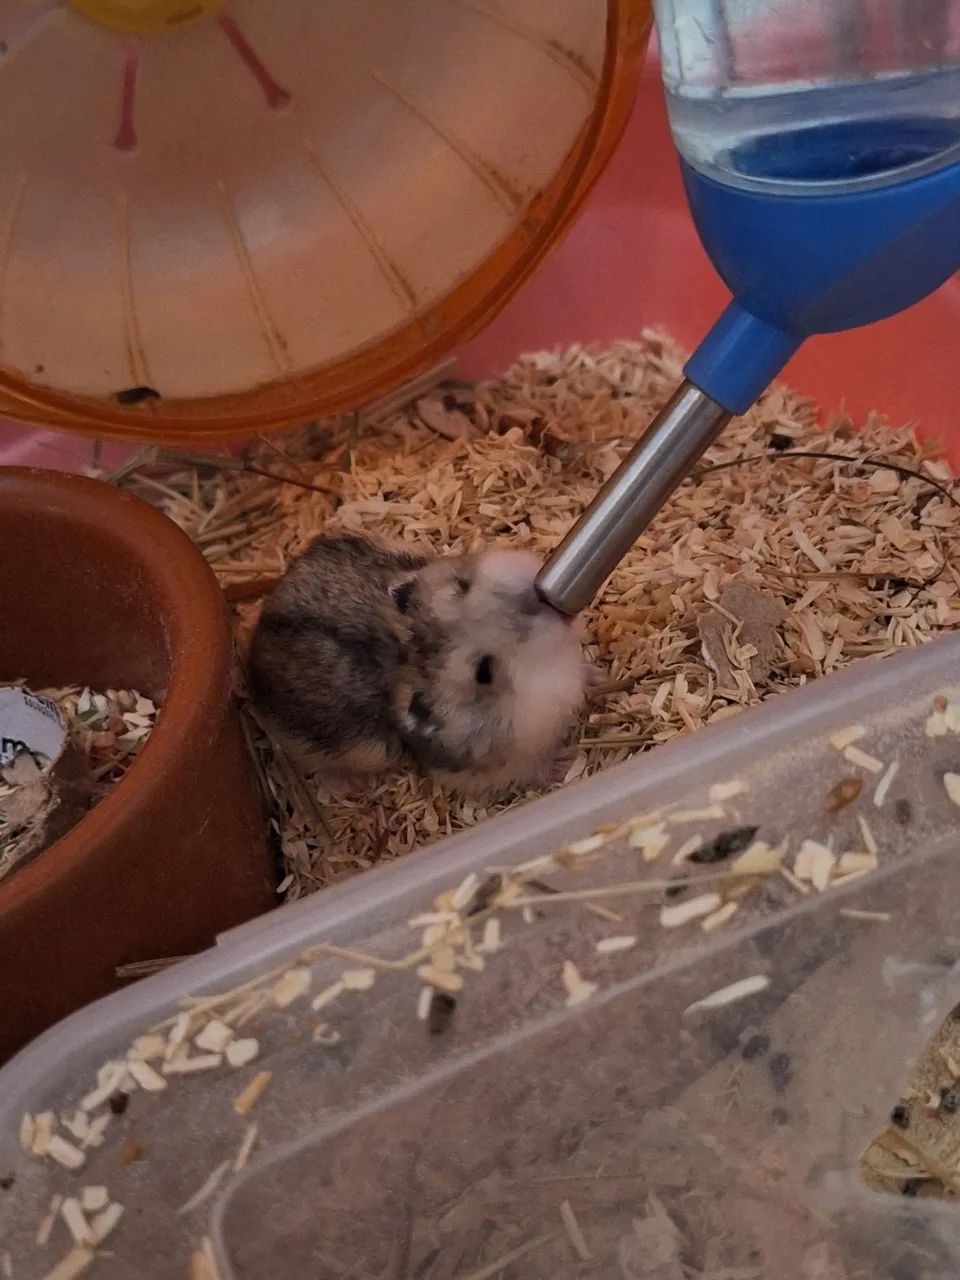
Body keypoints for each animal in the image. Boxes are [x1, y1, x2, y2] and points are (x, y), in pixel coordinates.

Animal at [247, 534, 585, 792]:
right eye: (484, 671)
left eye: (462, 585)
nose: (537, 600)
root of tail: (255, 638)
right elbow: (532, 769)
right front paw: (566, 761)